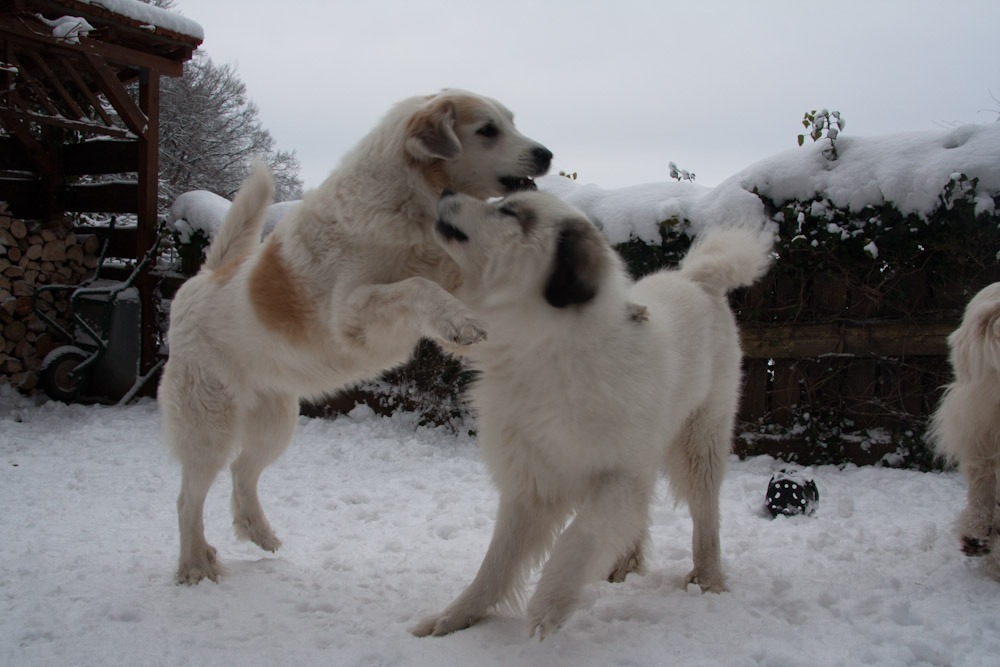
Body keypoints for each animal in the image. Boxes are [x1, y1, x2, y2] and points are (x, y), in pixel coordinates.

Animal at [410, 190, 768, 640]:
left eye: (508, 210)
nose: (445, 193)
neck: (548, 351)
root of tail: (698, 279)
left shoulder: (617, 475)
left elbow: (581, 536)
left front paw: (551, 602)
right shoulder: (532, 483)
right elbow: (496, 563)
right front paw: (456, 616)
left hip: (700, 441)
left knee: (706, 520)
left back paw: (709, 581)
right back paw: (625, 565)